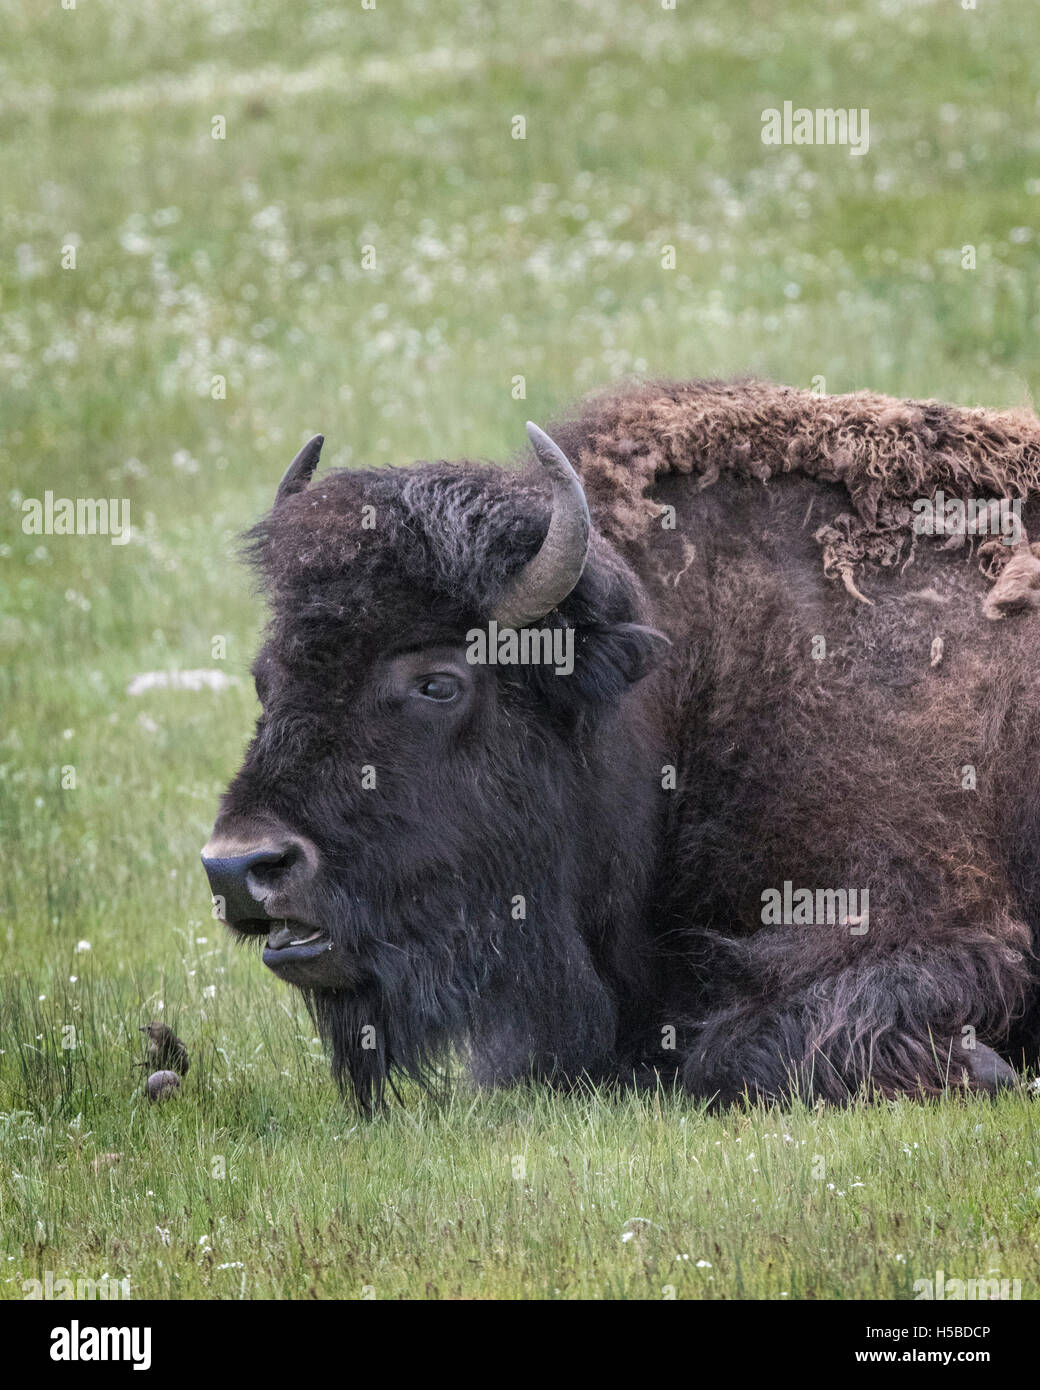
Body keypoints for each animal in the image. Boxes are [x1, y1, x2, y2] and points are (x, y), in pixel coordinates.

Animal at [201, 378, 1040, 1108]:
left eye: (438, 683)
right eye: (265, 678)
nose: (239, 866)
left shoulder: (921, 917)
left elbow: (735, 1052)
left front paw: (986, 1066)